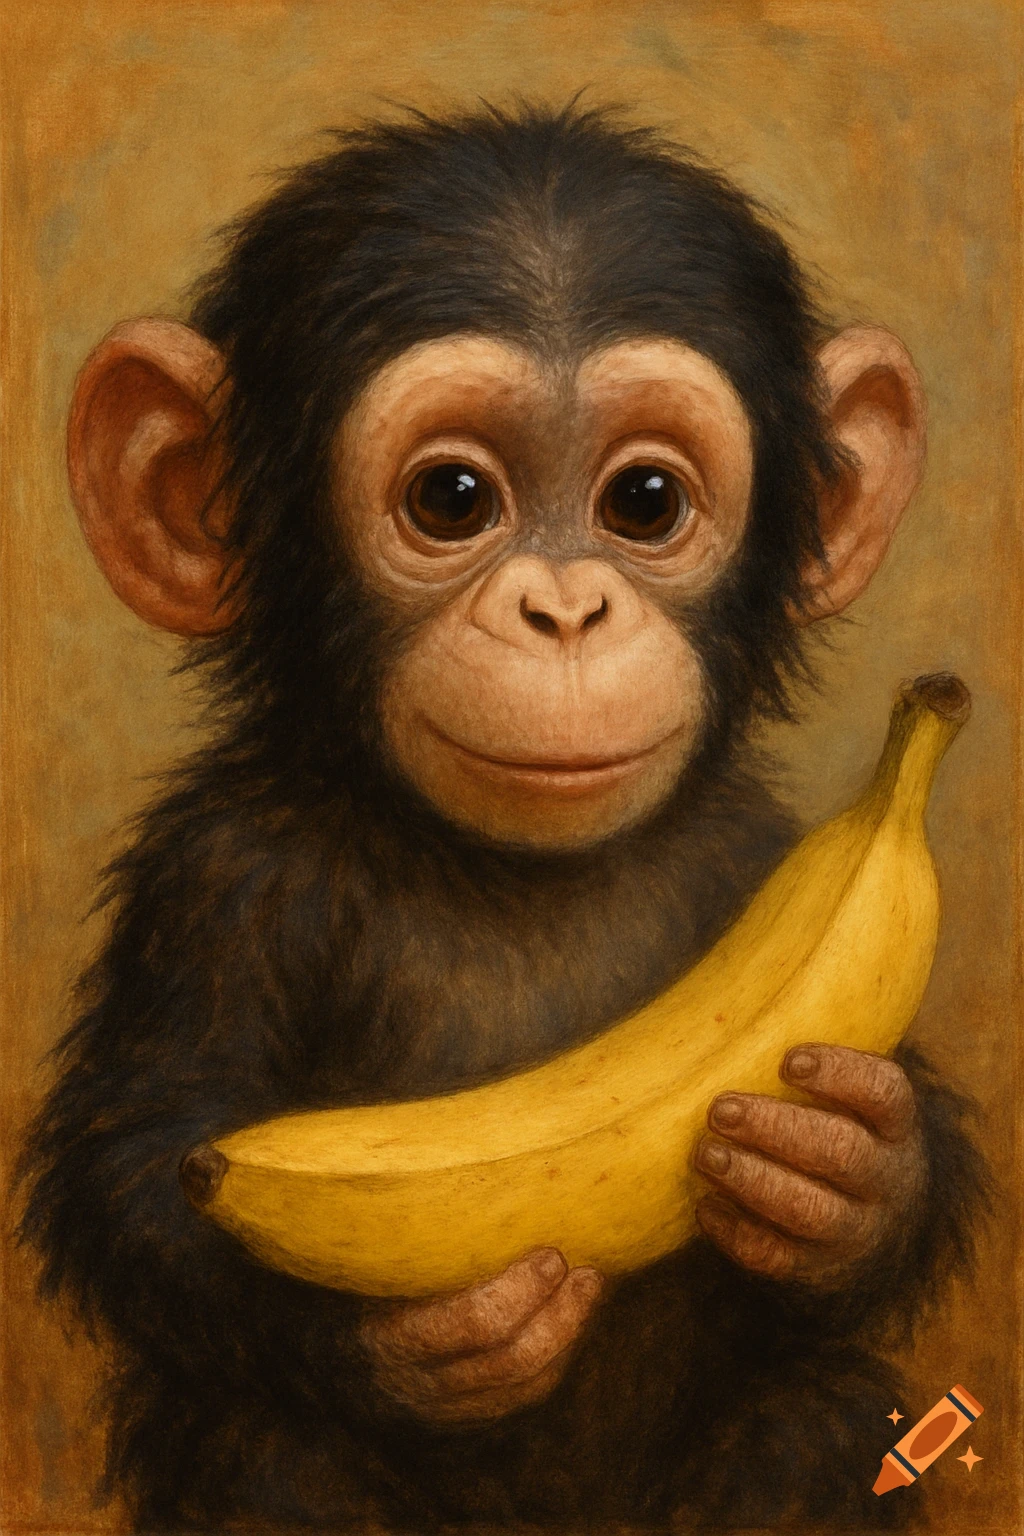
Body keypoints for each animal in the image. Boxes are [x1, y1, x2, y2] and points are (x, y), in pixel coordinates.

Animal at [18, 102, 989, 1532]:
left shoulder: (751, 847)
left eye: (644, 502)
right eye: (451, 500)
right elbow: (138, 1153)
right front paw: (408, 1344)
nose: (563, 611)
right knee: (265, 1452)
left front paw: (852, 1167)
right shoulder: (220, 877)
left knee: (807, 1423)